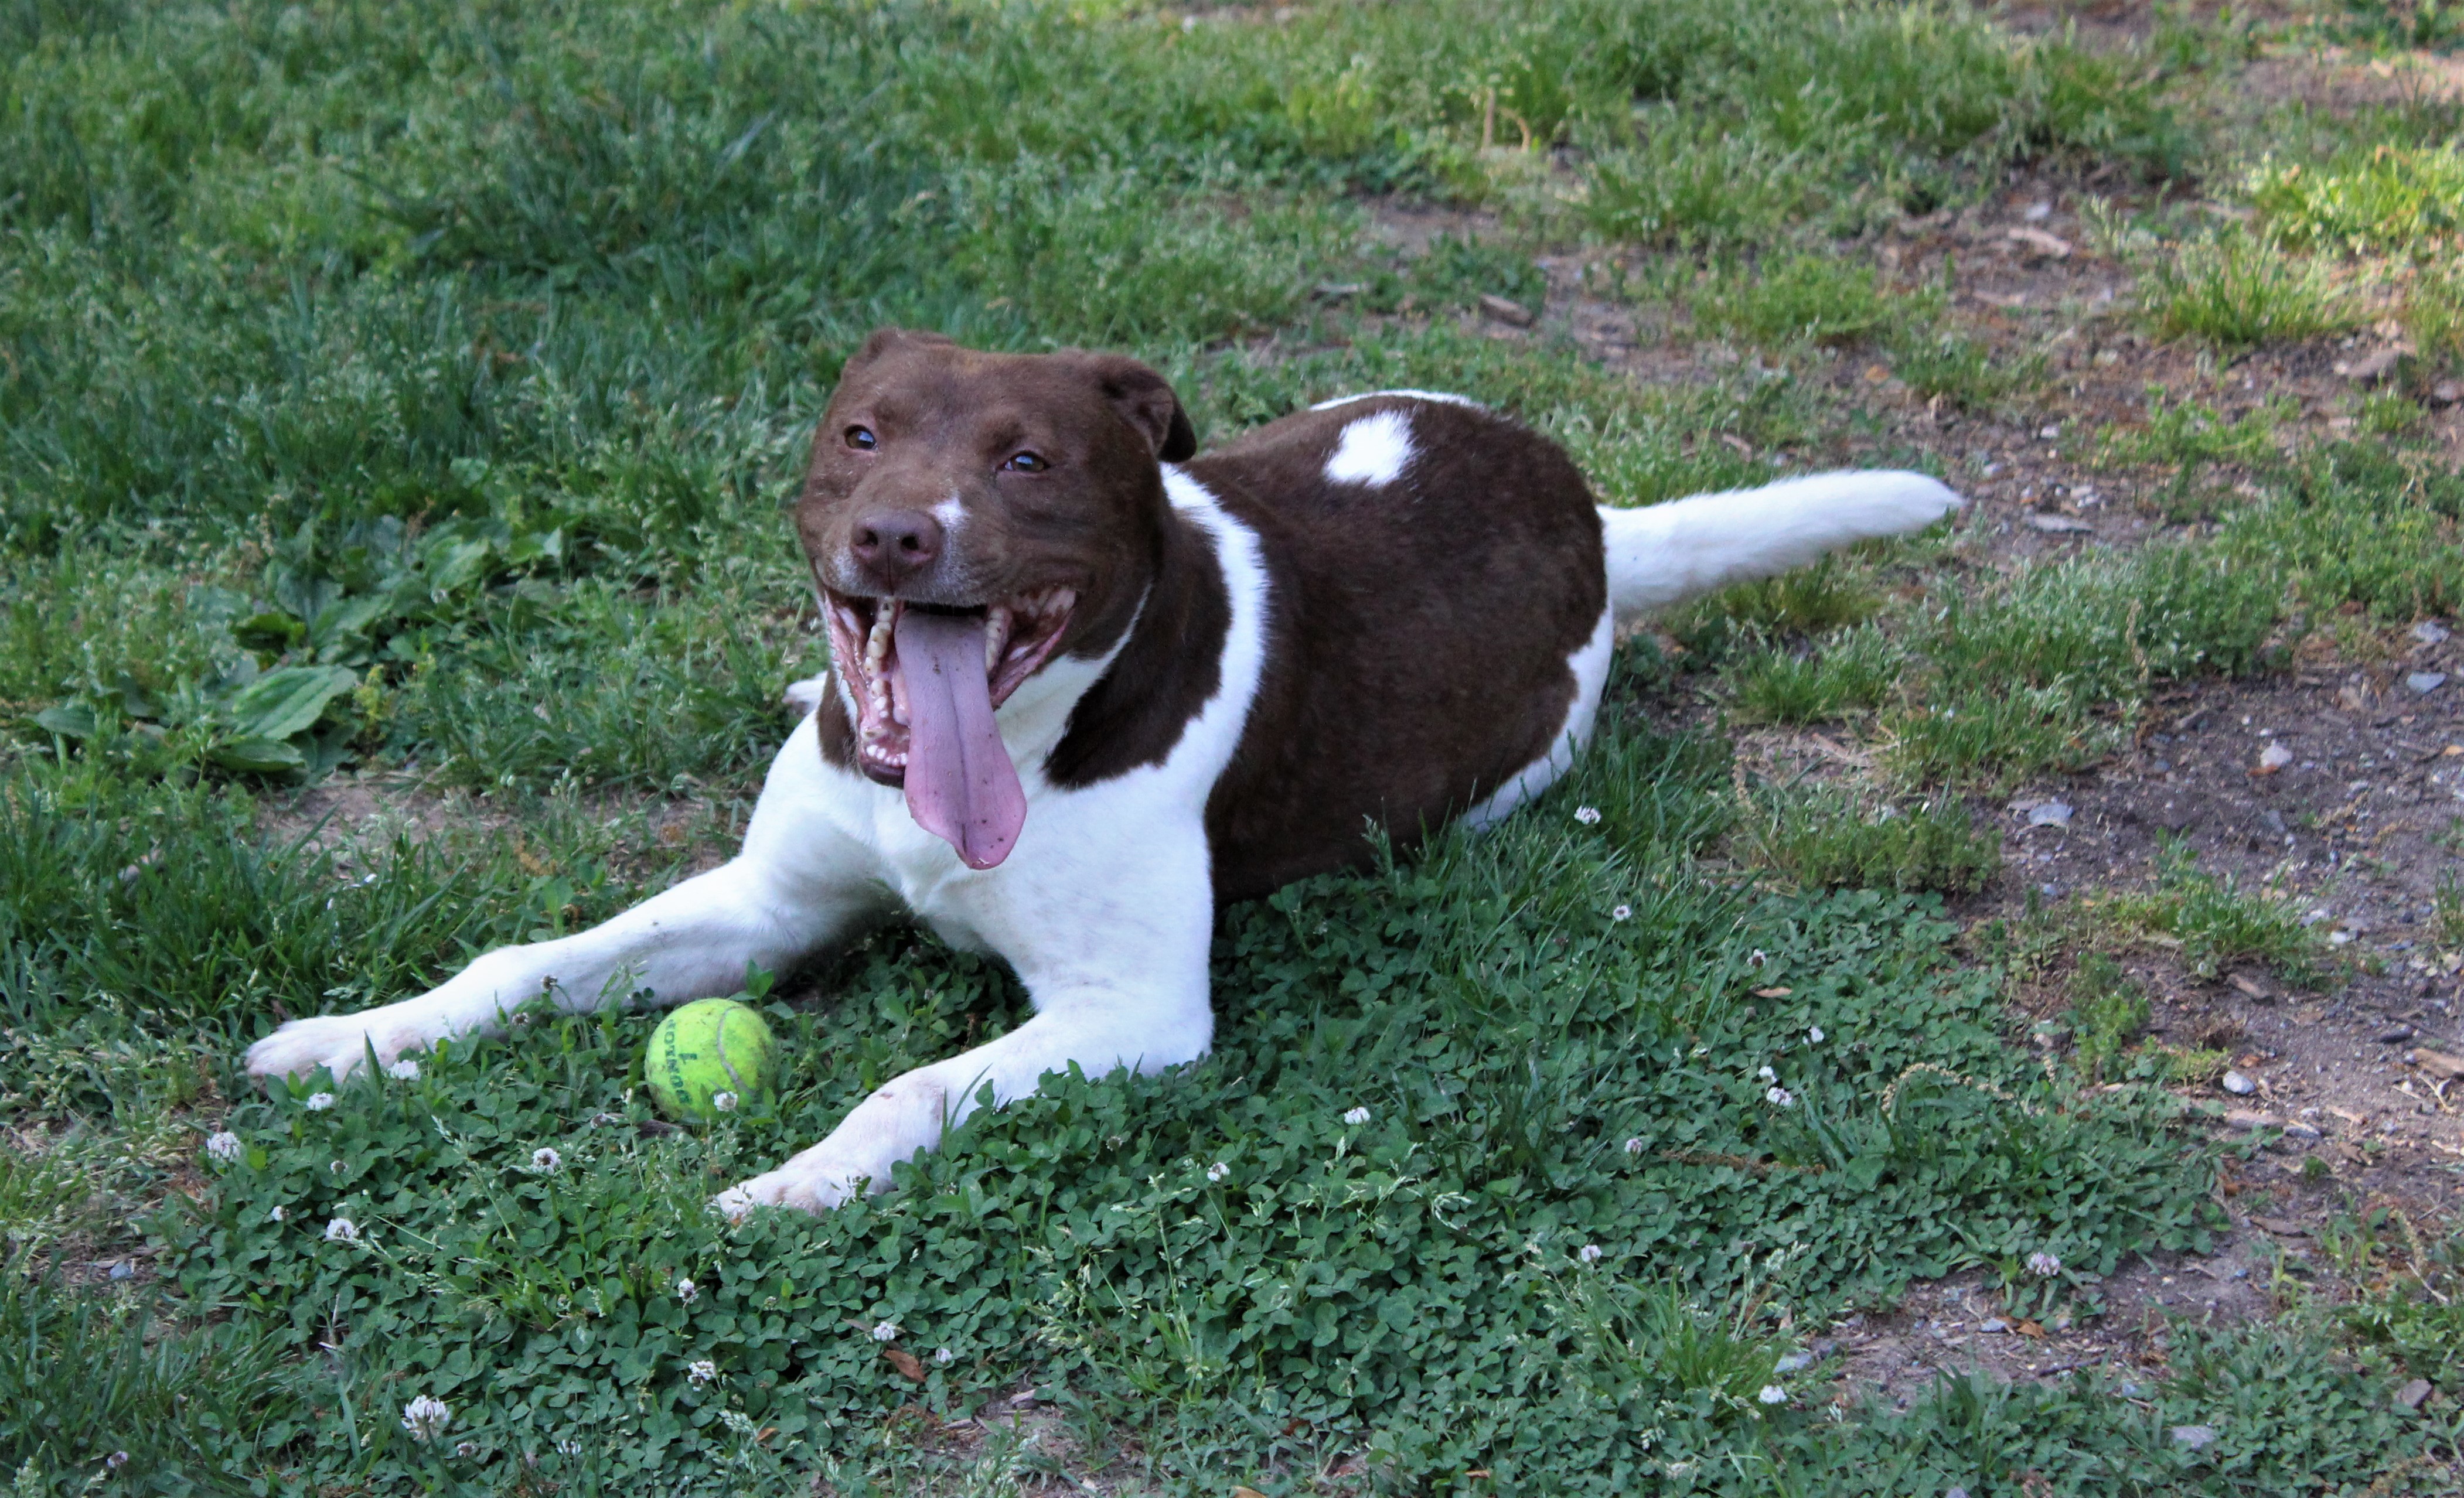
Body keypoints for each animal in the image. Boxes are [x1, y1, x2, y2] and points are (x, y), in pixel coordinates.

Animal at [240, 330, 1951, 1217]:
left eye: (1027, 461)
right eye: (861, 435)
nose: (896, 536)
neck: (980, 760)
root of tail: (1596, 522)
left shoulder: (1133, 1014)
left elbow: (910, 1086)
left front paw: (796, 1180)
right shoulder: (764, 903)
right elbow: (526, 960)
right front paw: (357, 1037)